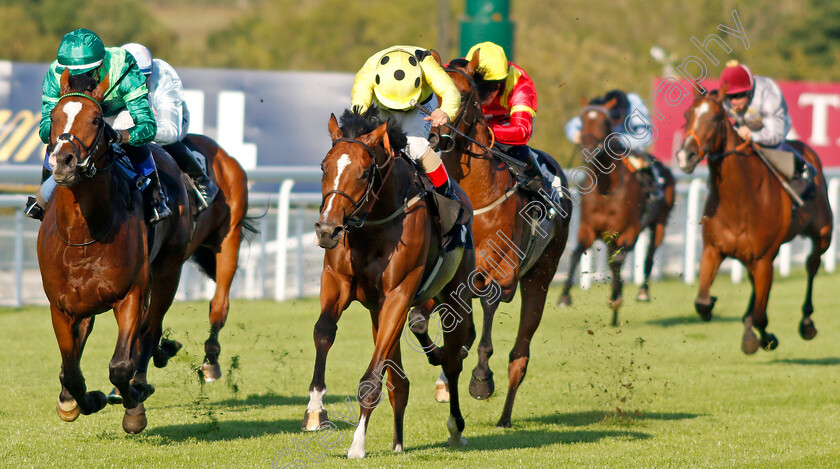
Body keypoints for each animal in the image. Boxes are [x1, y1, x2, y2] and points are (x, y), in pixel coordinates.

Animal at [37, 68, 251, 432]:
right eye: (53, 117)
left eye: (96, 120)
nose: (63, 161)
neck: (83, 233)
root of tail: (222, 154)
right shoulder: (61, 305)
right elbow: (71, 371)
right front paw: (77, 400)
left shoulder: (131, 293)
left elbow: (121, 363)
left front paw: (133, 405)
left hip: (203, 253)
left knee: (205, 309)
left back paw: (203, 362)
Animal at [304, 107, 476, 458]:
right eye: (324, 167)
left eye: (364, 173)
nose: (327, 230)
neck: (373, 226)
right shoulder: (338, 283)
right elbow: (323, 332)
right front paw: (315, 409)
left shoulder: (399, 295)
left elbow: (371, 381)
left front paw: (357, 445)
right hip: (378, 311)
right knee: (400, 381)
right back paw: (397, 443)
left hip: (455, 300)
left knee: (452, 363)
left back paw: (455, 429)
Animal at [410, 52, 576, 428]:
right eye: (430, 96)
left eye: (461, 95)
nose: (436, 135)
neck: (476, 196)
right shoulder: (442, 278)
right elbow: (419, 321)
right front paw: (441, 358)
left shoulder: (503, 276)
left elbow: (486, 313)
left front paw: (481, 380)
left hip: (541, 278)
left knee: (520, 354)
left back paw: (504, 415)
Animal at [556, 98, 676, 326]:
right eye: (582, 121)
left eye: (605, 123)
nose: (588, 149)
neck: (606, 188)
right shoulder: (588, 228)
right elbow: (576, 253)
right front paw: (564, 297)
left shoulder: (629, 230)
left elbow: (618, 262)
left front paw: (616, 299)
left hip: (660, 222)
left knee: (648, 256)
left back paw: (642, 293)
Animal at [676, 86, 832, 352]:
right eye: (687, 115)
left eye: (715, 118)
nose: (686, 156)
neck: (739, 200)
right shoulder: (713, 250)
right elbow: (703, 302)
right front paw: (721, 310)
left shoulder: (762, 258)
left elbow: (761, 315)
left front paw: (764, 338)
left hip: (822, 234)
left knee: (812, 264)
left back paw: (807, 323)